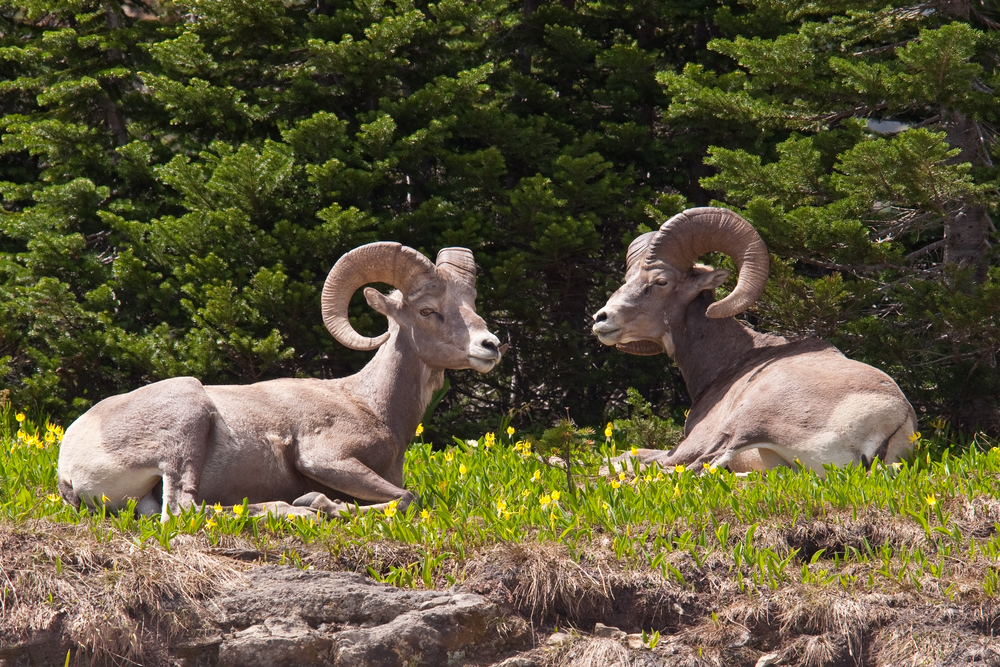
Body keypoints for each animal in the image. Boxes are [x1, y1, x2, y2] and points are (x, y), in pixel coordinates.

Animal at [58, 243, 504, 520]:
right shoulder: (325, 458)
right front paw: (321, 502)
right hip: (186, 425)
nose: (491, 346)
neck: (370, 405)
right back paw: (300, 509)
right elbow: (409, 497)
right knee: (185, 509)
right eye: (428, 310)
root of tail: (68, 466)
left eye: (471, 304)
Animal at [592, 209, 916, 474]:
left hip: (746, 422)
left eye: (661, 281)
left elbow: (636, 456)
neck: (730, 362)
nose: (601, 319)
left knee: (697, 468)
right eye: (628, 278)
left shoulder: (691, 443)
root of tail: (893, 418)